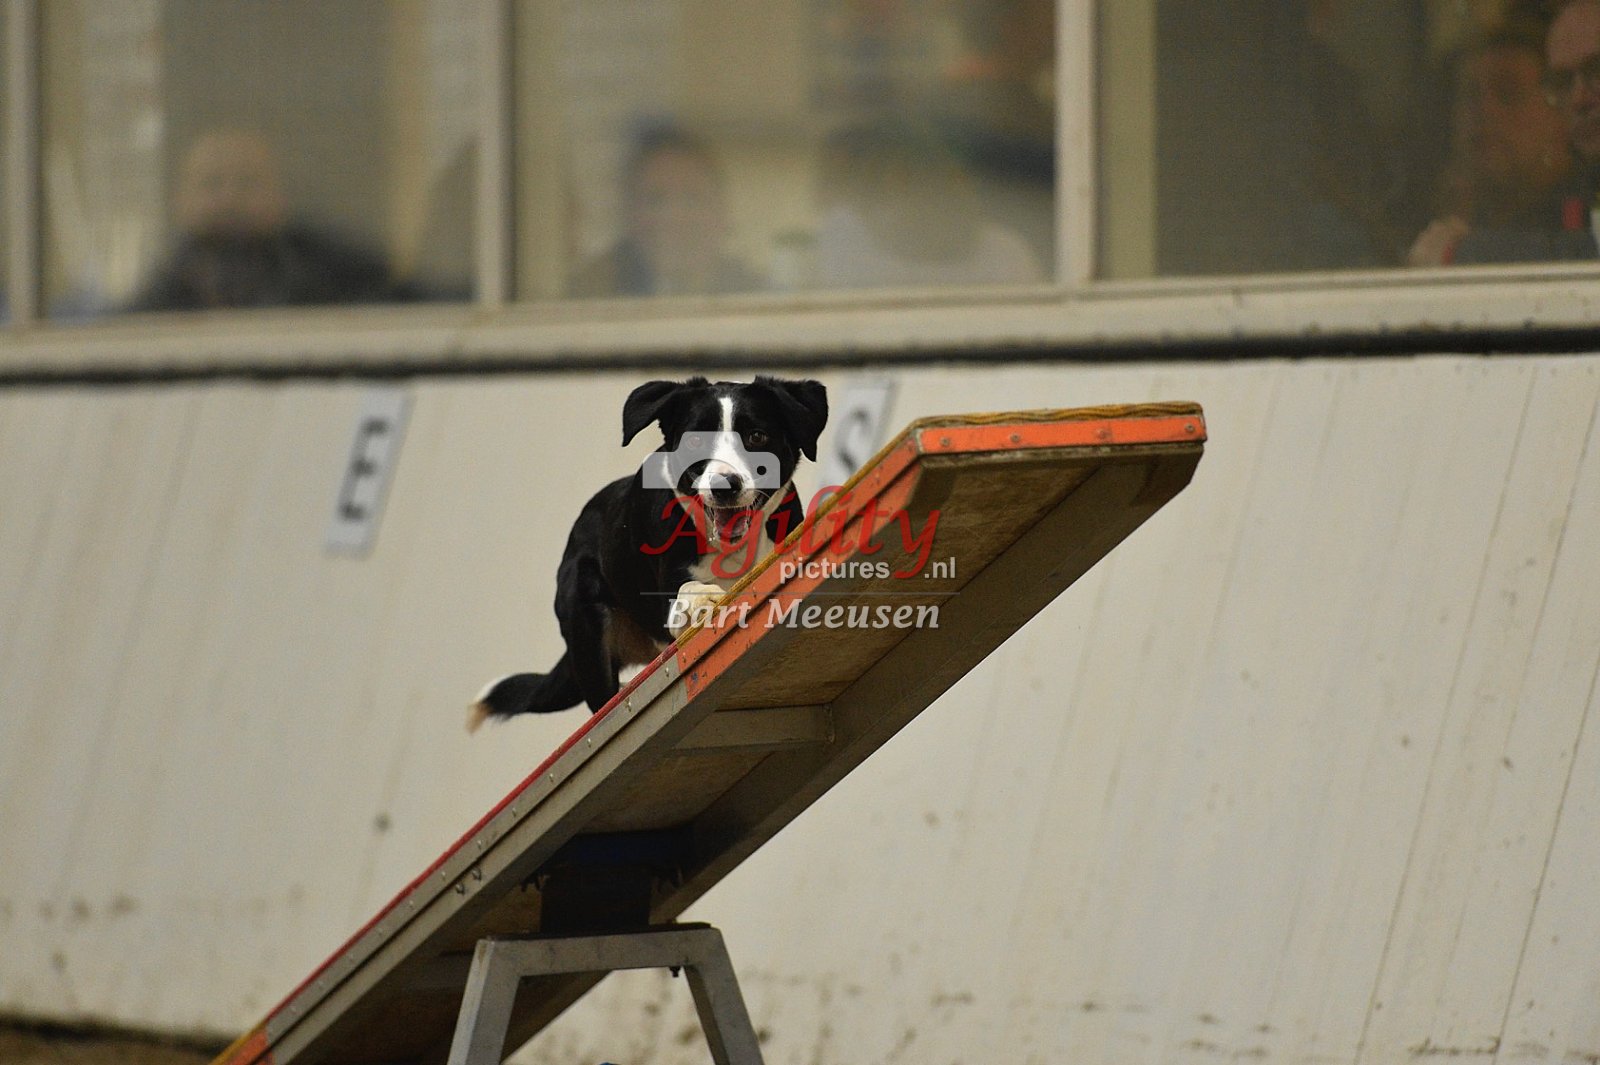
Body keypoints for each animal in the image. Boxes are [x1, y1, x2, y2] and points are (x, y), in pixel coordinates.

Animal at [468, 375, 828, 729]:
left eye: (756, 436)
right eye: (694, 441)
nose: (724, 486)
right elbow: (687, 590)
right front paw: (701, 597)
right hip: (586, 627)